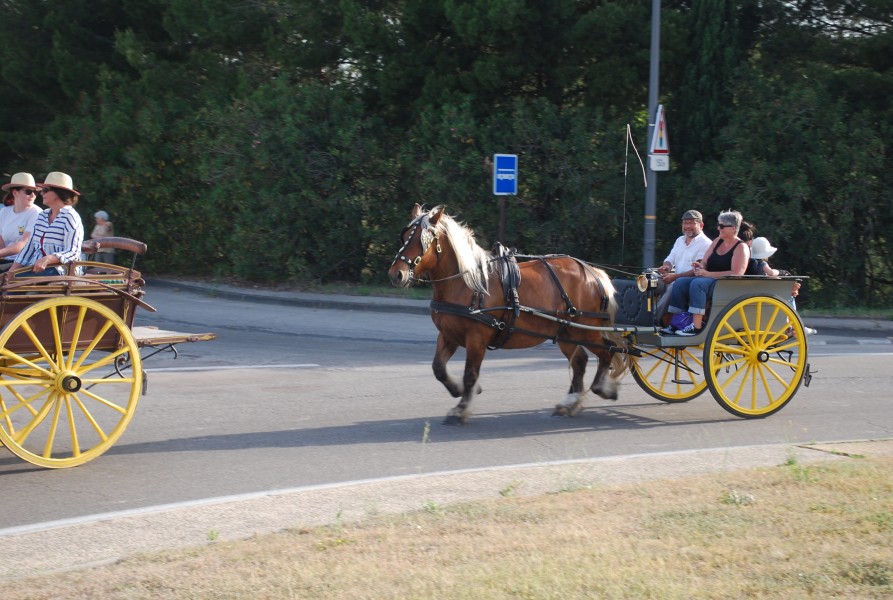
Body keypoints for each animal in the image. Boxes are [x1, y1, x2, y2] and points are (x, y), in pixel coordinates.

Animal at [386, 204, 632, 424]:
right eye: (405, 235)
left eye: (422, 240)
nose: (396, 274)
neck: (467, 284)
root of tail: (593, 272)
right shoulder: (448, 335)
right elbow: (438, 368)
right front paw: (458, 390)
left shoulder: (477, 339)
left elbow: (470, 374)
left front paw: (461, 408)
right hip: (565, 332)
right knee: (580, 361)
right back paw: (570, 402)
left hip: (585, 330)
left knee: (607, 351)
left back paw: (602, 388)